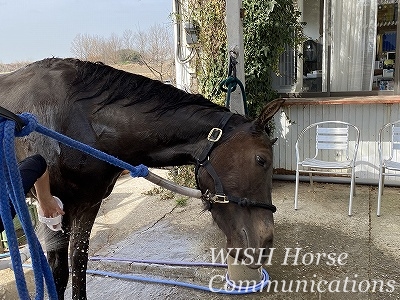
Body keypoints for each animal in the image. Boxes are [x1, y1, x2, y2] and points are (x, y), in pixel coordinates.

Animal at [0, 57, 282, 298]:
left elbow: (78, 264)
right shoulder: (54, 208)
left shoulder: (88, 204)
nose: (266, 244)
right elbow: (57, 274)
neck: (75, 118)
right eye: (261, 160)